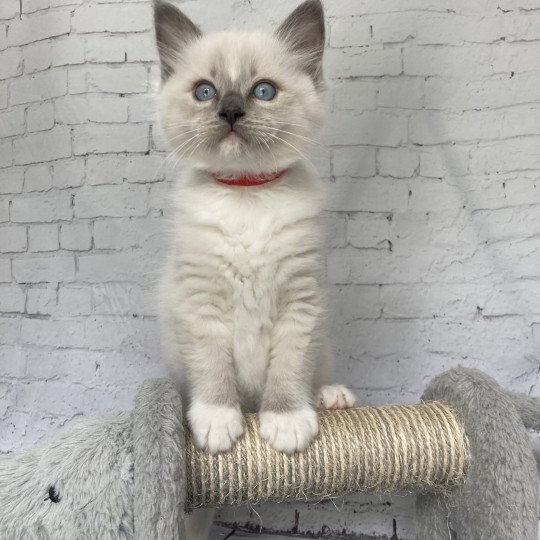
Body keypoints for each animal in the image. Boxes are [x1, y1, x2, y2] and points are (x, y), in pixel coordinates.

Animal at [154, 0, 354, 472]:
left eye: (263, 91)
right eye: (204, 92)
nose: (229, 112)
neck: (247, 194)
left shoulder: (300, 303)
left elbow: (289, 370)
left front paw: (286, 424)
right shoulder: (201, 303)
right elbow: (213, 371)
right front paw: (216, 422)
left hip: (323, 345)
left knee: (317, 375)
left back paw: (332, 398)